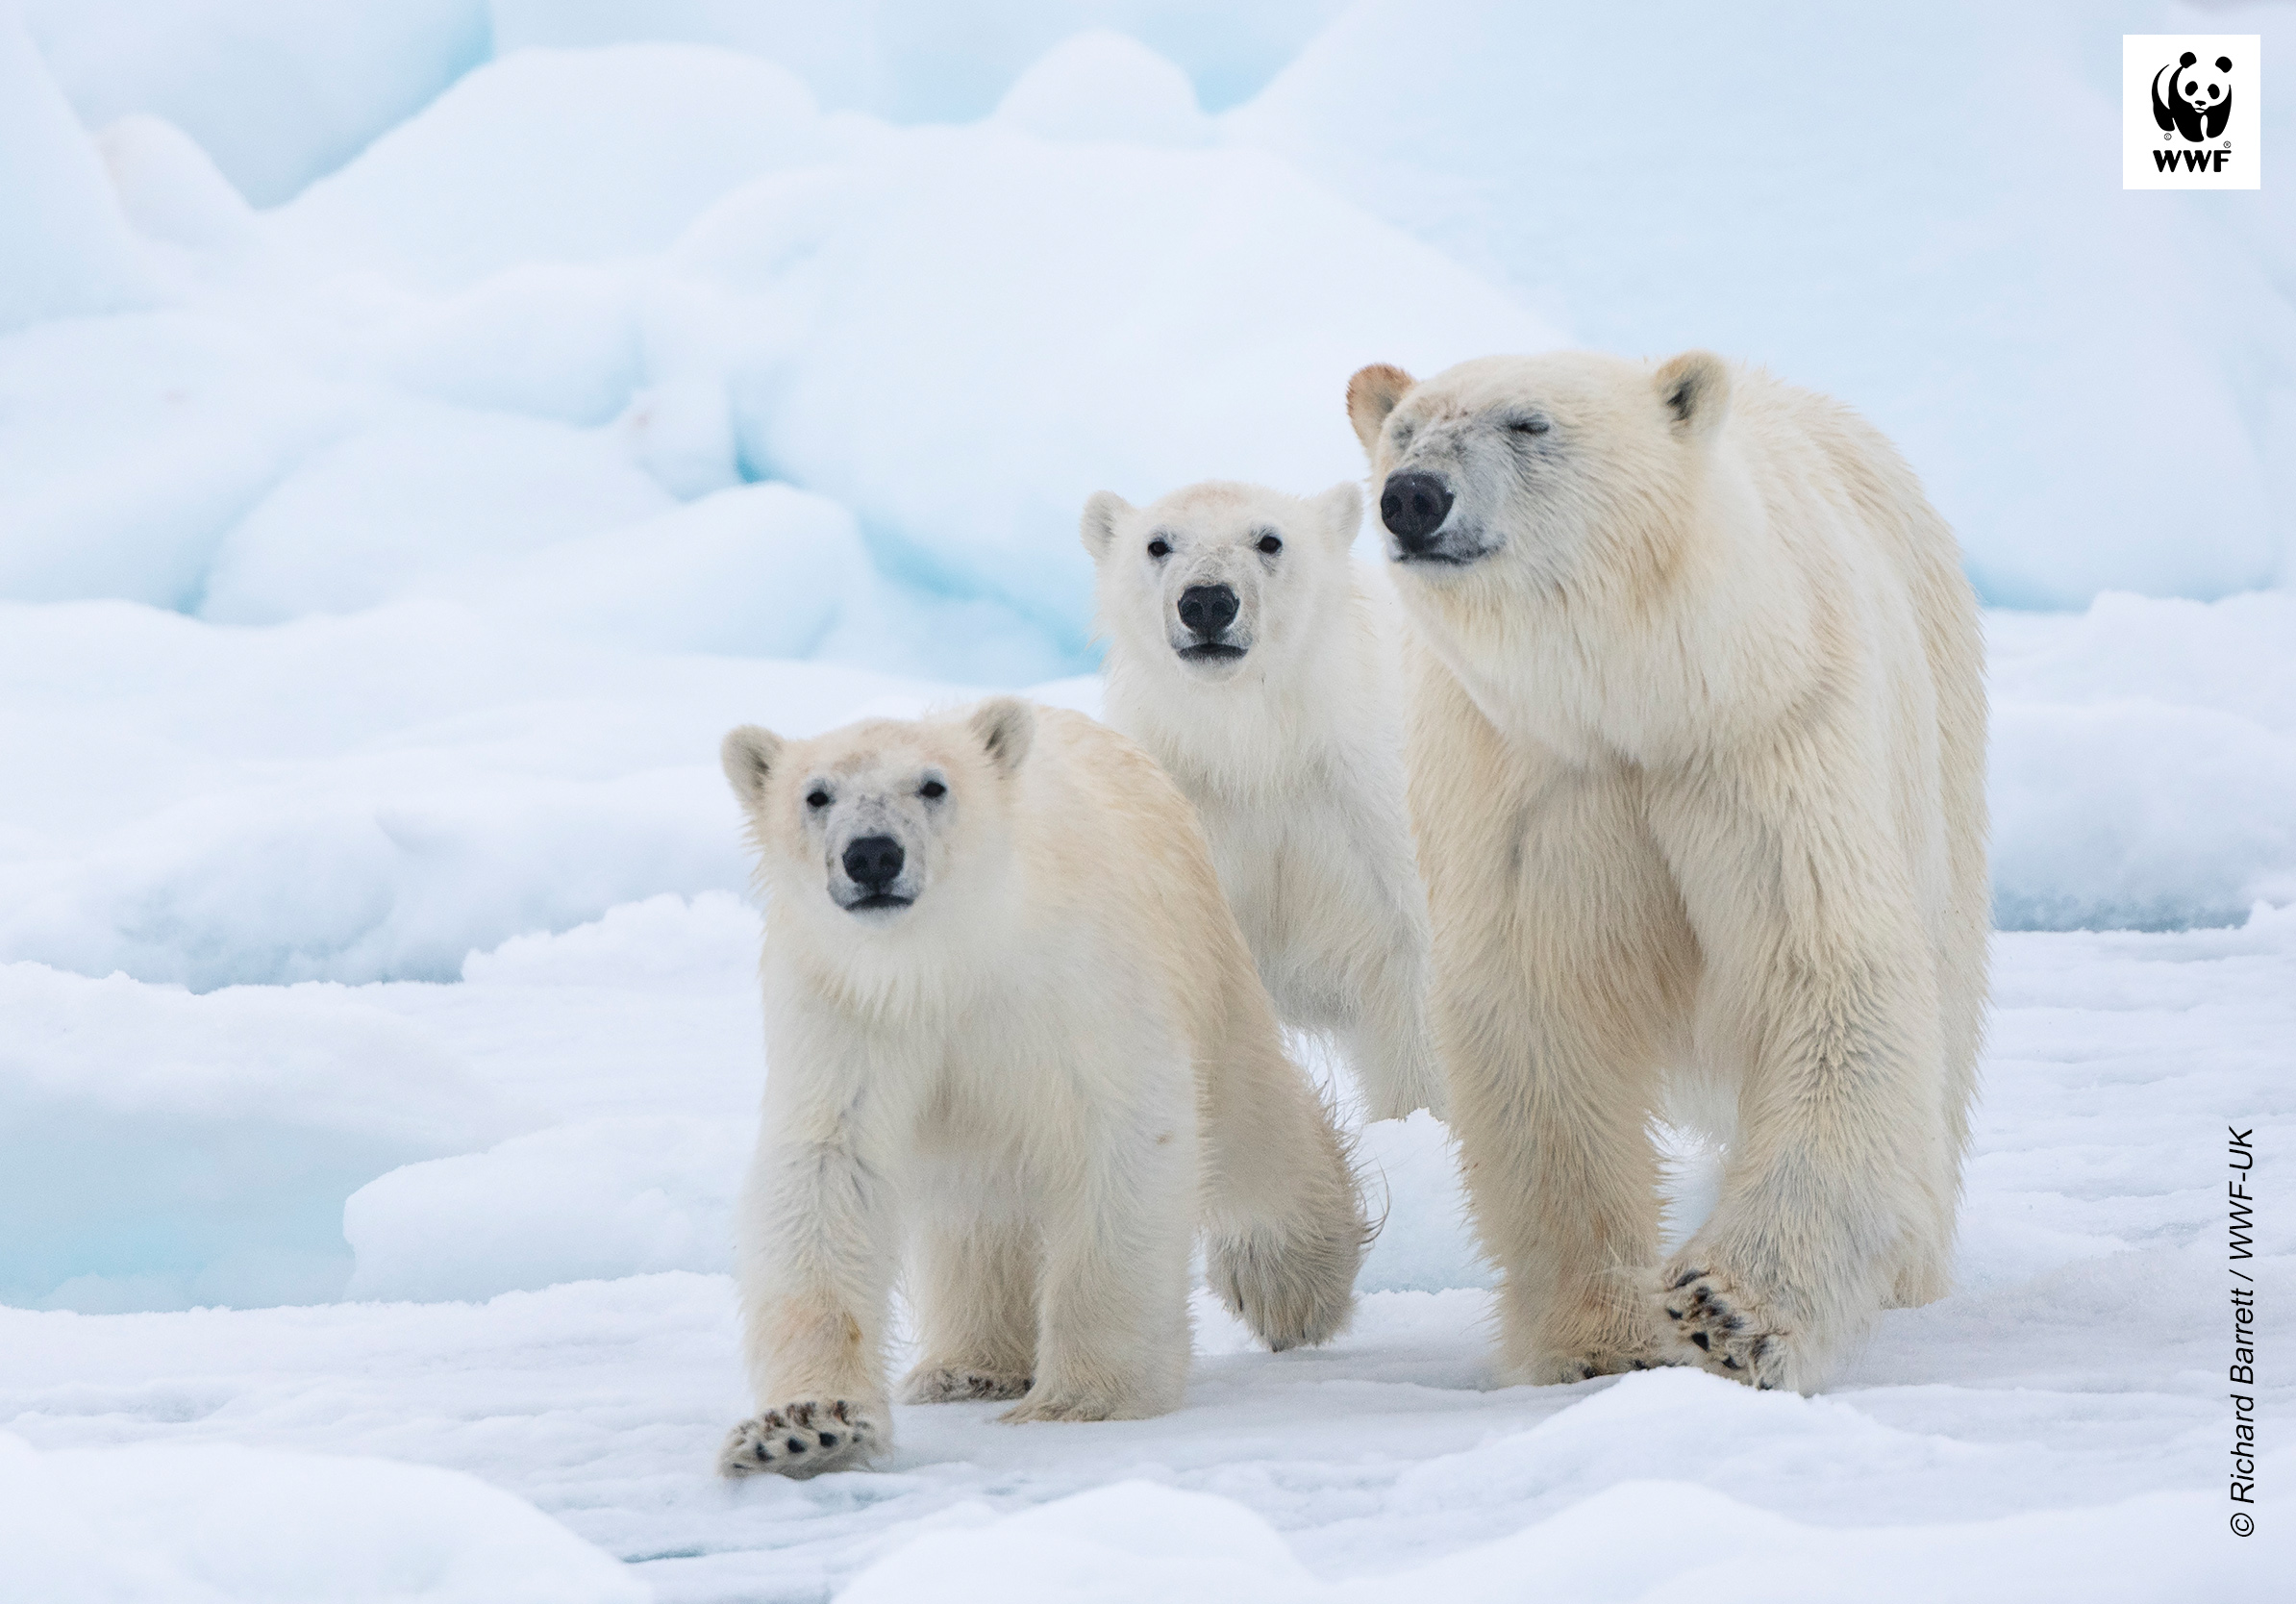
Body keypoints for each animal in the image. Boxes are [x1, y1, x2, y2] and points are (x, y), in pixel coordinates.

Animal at [716, 693, 1359, 1470]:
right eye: (816, 795)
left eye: (933, 785)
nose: (871, 854)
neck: (944, 962)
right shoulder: (849, 1012)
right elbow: (825, 1175)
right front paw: (804, 1428)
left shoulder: (1075, 984)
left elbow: (1127, 1134)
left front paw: (1084, 1399)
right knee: (976, 1207)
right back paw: (967, 1367)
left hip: (1203, 948)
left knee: (1248, 1122)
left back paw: (1293, 1284)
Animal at [1084, 480, 1441, 1116]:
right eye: (1157, 543)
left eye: (1269, 540)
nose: (1206, 602)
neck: (1258, 752)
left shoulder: (1369, 814)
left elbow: (1414, 980)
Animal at [1340, 346, 1992, 1388]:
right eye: (1403, 433)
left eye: (1529, 424)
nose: (1413, 497)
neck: (1646, 698)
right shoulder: (1527, 786)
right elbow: (1543, 1018)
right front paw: (1598, 1337)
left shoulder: (1770, 744)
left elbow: (1827, 978)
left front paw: (1729, 1312)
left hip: (1938, 735)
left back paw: (1909, 1264)